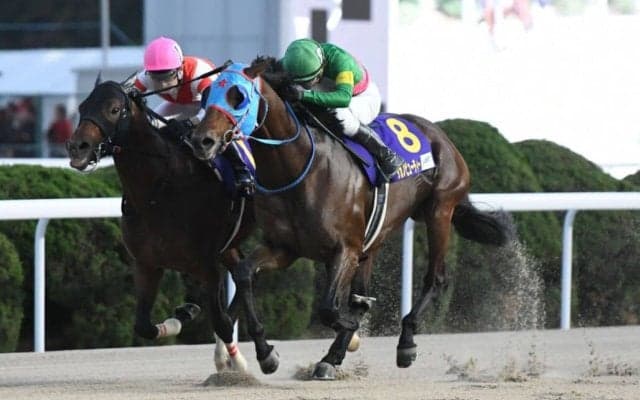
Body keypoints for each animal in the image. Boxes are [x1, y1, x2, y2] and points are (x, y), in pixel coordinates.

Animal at [66, 78, 258, 373]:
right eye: (82, 107)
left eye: (113, 109)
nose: (78, 147)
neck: (159, 190)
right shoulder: (147, 264)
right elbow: (143, 326)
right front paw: (183, 315)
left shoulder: (207, 266)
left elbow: (221, 321)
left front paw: (239, 363)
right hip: (230, 245)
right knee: (244, 276)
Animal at [189, 59, 512, 380]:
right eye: (206, 96)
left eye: (238, 96)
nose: (202, 140)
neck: (297, 169)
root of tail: (438, 134)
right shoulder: (285, 248)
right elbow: (245, 274)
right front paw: (266, 353)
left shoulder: (345, 248)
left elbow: (329, 308)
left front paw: (350, 334)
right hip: (377, 236)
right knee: (361, 296)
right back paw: (331, 357)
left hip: (439, 210)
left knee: (436, 278)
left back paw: (404, 342)